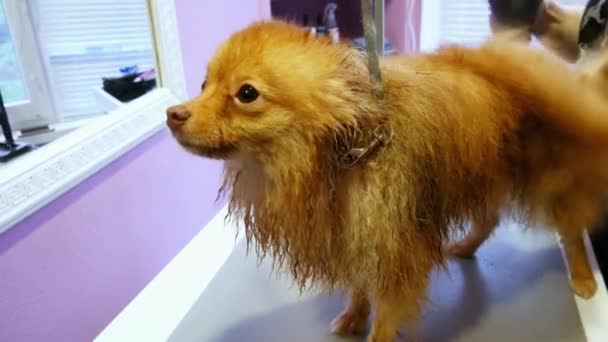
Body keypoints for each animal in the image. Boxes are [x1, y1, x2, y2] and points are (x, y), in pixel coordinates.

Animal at [169, 21, 608, 342]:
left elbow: (387, 314)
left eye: (246, 93)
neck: (344, 156)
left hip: (549, 178)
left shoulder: (394, 248)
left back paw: (584, 279)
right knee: (489, 218)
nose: (174, 113)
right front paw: (352, 317)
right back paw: (466, 246)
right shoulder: (356, 234)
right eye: (205, 85)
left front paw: (373, 331)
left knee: (570, 230)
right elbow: (360, 288)